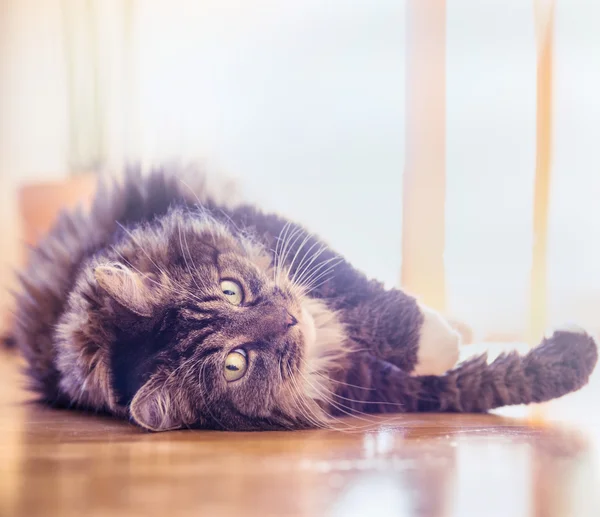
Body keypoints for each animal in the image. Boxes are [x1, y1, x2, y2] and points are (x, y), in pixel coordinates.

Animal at [8, 167, 596, 430]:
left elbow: (366, 296)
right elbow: (484, 381)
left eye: (232, 290)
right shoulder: (376, 386)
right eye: (235, 364)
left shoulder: (276, 235)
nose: (290, 320)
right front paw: (575, 355)